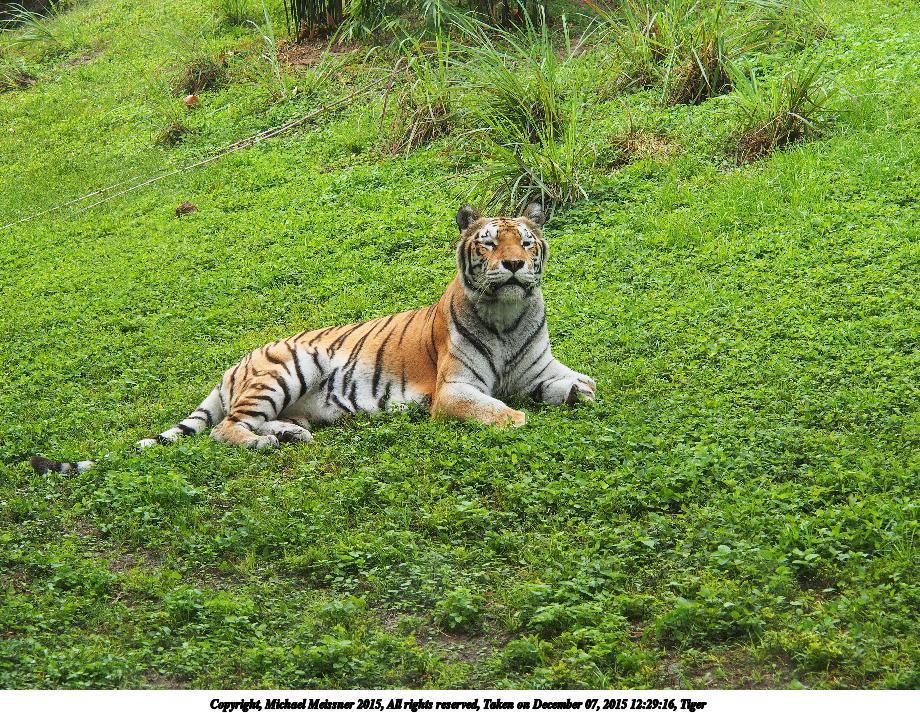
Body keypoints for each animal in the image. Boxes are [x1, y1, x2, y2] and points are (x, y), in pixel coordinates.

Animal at [30, 203, 596, 475]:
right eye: (488, 243)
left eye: (527, 242)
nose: (515, 265)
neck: (507, 316)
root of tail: (236, 364)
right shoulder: (455, 390)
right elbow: (495, 409)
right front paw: (518, 419)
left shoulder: (540, 369)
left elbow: (576, 383)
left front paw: (579, 392)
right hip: (286, 370)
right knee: (225, 430)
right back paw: (268, 443)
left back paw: (290, 434)